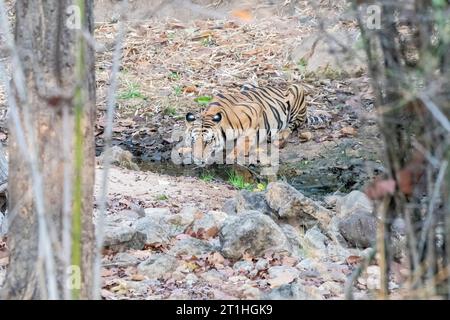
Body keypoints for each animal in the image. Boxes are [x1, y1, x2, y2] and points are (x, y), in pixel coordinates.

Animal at [183, 84, 326, 166]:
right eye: (193, 140)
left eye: (208, 142)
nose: (197, 159)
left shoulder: (254, 110)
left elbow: (243, 142)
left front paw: (231, 156)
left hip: (296, 91)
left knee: (293, 125)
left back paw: (279, 136)